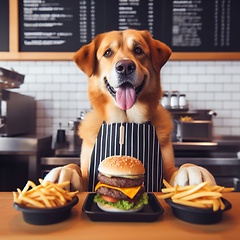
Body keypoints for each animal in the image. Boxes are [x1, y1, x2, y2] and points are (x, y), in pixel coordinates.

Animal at [44, 29, 216, 191]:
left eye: (138, 50)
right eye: (108, 52)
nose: (125, 67)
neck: (126, 121)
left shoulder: (166, 171)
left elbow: (179, 168)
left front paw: (192, 169)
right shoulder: (88, 172)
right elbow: (76, 167)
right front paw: (64, 171)